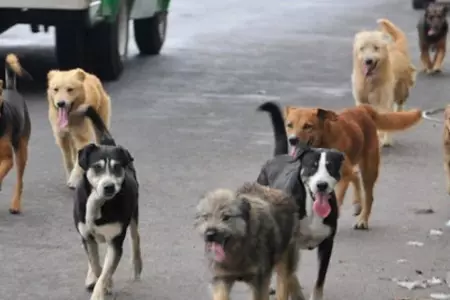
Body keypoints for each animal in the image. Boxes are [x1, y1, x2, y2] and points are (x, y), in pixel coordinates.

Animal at [71, 105, 141, 300]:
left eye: (117, 167)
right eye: (97, 167)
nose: (109, 186)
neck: (98, 203)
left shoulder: (115, 241)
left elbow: (105, 272)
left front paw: (102, 288)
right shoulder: (86, 236)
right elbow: (96, 265)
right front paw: (101, 281)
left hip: (134, 215)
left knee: (136, 238)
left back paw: (137, 265)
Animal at [255, 102, 342, 300]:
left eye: (330, 168)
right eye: (312, 167)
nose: (322, 185)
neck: (311, 209)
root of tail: (278, 157)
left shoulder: (327, 244)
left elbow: (319, 280)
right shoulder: (288, 245)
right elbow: (285, 278)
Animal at [284, 102, 424, 229]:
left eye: (308, 126)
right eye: (289, 125)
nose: (292, 140)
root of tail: (363, 108)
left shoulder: (341, 178)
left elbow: (337, 198)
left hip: (368, 170)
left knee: (368, 196)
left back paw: (362, 220)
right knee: (355, 175)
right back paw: (357, 204)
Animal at [350, 18, 416, 147]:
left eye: (376, 47)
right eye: (362, 48)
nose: (368, 61)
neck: (371, 82)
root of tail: (397, 47)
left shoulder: (383, 102)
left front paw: (380, 138)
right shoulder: (361, 100)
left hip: (399, 91)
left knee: (397, 108)